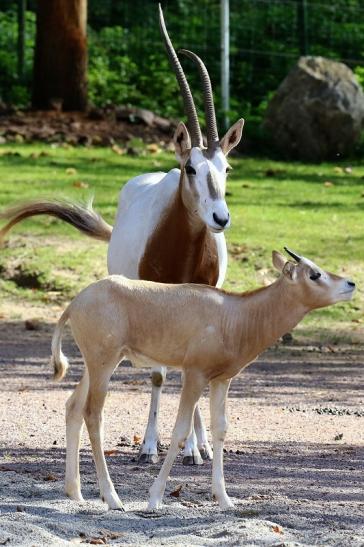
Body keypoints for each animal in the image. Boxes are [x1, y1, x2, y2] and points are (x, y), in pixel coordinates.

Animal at [51, 248, 356, 510]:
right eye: (314, 274)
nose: (351, 283)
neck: (236, 315)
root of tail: (76, 303)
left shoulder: (221, 380)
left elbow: (220, 428)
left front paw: (224, 499)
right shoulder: (194, 375)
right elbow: (180, 431)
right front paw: (155, 498)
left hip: (97, 364)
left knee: (73, 407)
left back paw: (75, 492)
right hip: (103, 363)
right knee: (93, 414)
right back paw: (113, 498)